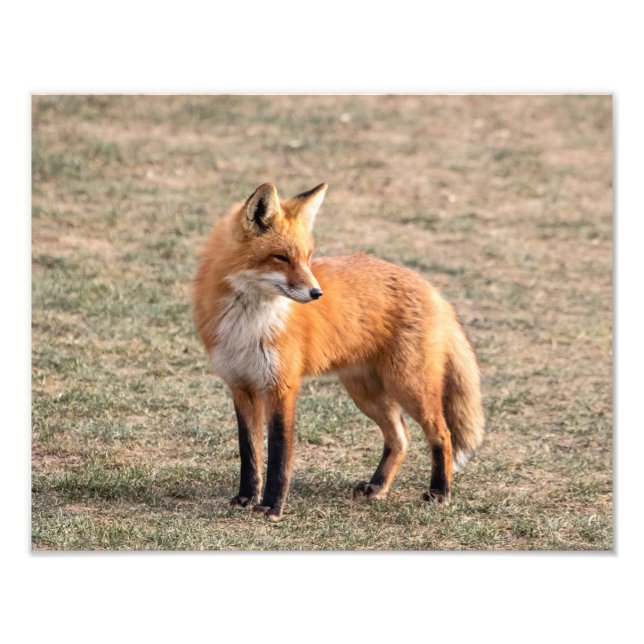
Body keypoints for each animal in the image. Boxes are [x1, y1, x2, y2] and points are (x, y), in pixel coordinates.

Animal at [192, 182, 484, 521]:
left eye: (308, 257)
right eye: (280, 258)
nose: (317, 293)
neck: (249, 322)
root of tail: (432, 289)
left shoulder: (282, 387)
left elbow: (278, 453)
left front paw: (272, 506)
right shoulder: (241, 386)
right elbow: (249, 450)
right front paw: (246, 497)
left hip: (409, 386)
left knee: (442, 434)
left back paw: (439, 491)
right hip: (366, 394)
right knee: (400, 438)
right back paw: (377, 487)